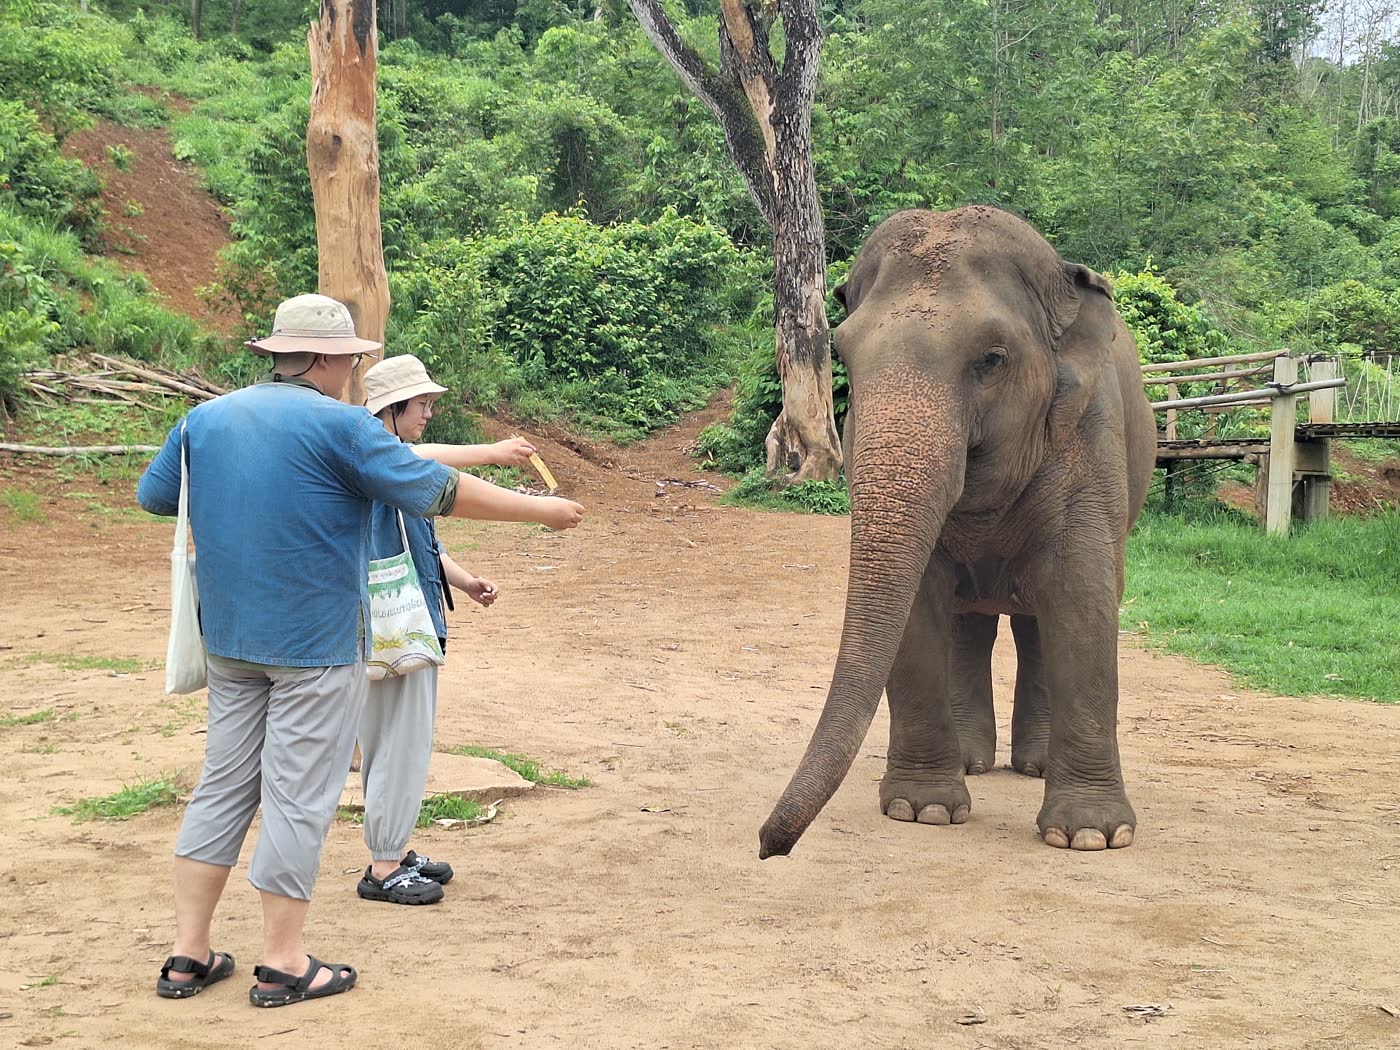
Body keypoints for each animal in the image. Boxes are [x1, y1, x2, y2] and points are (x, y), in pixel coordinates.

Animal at [758, 206, 1156, 858]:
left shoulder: (1092, 439)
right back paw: (973, 762)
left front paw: (1093, 835)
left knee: (1037, 619)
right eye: (843, 354)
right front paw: (921, 810)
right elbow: (918, 604)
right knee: (973, 621)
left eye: (992, 358)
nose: (769, 846)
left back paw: (1034, 768)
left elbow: (1082, 598)